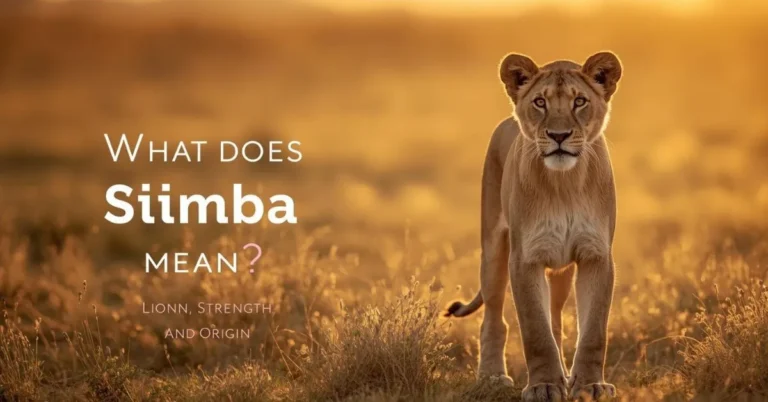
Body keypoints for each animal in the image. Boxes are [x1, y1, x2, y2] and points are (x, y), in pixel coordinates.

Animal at [445, 51, 622, 402]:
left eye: (579, 101)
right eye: (540, 102)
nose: (559, 136)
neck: (565, 183)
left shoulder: (596, 255)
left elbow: (593, 330)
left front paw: (589, 385)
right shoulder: (525, 258)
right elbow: (535, 331)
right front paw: (544, 386)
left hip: (561, 273)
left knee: (556, 321)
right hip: (493, 252)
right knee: (494, 320)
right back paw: (492, 377)